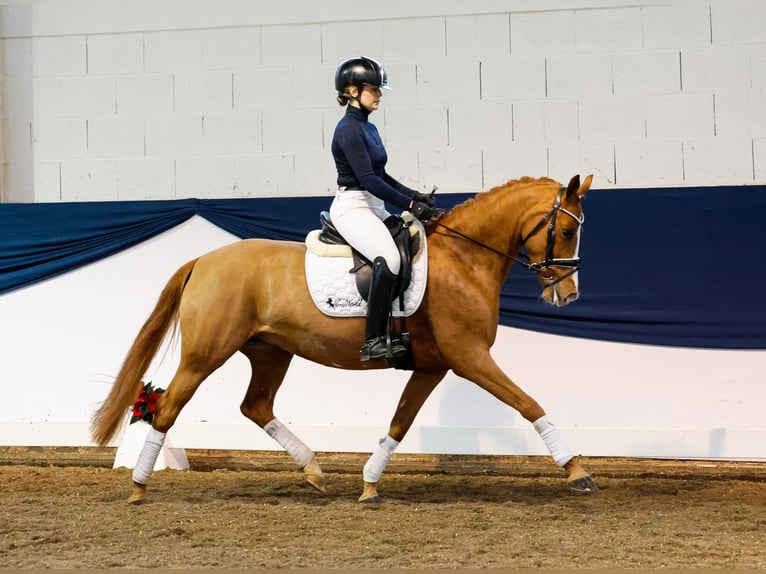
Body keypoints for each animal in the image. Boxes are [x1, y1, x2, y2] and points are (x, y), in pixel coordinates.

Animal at [93, 174, 600, 504]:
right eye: (566, 230)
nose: (568, 295)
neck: (464, 258)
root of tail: (204, 260)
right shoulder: (470, 357)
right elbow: (529, 403)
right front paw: (577, 471)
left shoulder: (433, 366)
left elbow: (400, 423)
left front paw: (370, 483)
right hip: (205, 355)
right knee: (167, 407)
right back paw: (138, 486)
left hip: (270, 352)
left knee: (255, 406)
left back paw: (315, 472)